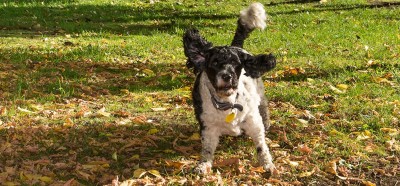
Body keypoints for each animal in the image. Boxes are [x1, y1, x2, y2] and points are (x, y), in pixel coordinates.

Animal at [183, 2, 276, 174]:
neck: (227, 102)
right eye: (214, 62)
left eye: (235, 63)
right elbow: (207, 150)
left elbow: (261, 146)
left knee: (264, 107)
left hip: (260, 93)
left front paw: (266, 163)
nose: (227, 76)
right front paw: (203, 165)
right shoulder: (208, 128)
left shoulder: (254, 122)